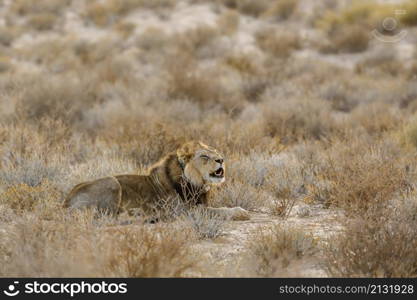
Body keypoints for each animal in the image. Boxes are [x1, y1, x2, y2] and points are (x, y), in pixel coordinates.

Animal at [63, 141, 249, 220]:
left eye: (216, 152)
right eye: (204, 156)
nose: (221, 160)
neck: (197, 182)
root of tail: (65, 203)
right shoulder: (183, 210)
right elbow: (216, 210)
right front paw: (239, 212)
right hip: (111, 182)